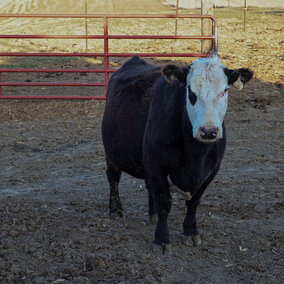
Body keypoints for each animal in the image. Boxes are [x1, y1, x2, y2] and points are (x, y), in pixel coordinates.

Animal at [102, 55, 253, 253]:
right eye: (191, 91)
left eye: (224, 91)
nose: (208, 131)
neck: (195, 155)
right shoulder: (157, 165)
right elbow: (164, 203)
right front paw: (162, 240)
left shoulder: (212, 170)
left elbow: (194, 202)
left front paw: (190, 232)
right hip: (111, 153)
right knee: (113, 178)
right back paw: (115, 210)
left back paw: (152, 214)